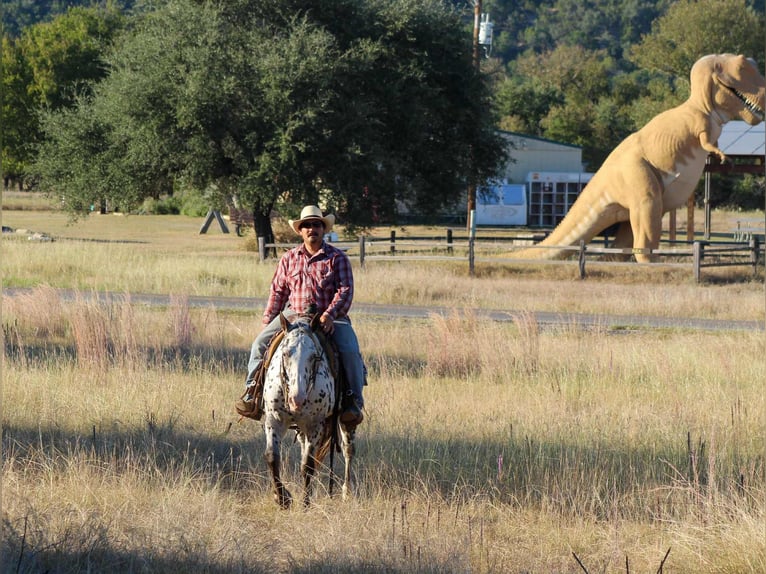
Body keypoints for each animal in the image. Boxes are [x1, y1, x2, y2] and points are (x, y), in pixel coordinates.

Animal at [262, 313, 356, 508]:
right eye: (285, 353)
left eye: (314, 357)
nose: (296, 400)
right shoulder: (274, 420)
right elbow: (272, 458)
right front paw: (282, 498)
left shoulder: (315, 425)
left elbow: (308, 465)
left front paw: (305, 504)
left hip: (344, 422)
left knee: (348, 450)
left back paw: (347, 493)